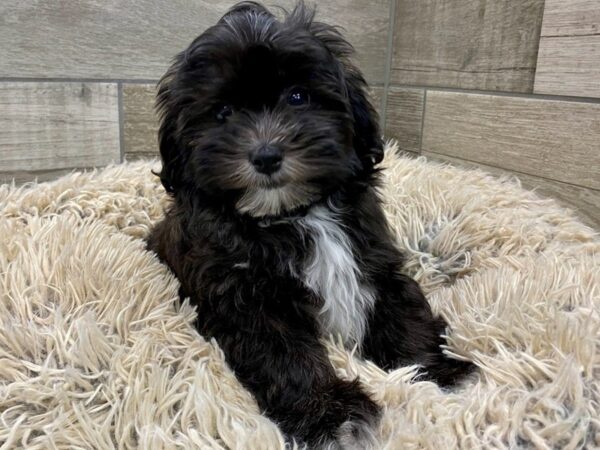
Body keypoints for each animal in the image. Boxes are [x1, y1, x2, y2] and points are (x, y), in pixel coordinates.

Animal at [146, 2, 474, 446]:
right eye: (222, 112)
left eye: (298, 96)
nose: (266, 155)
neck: (295, 214)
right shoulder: (248, 300)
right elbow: (283, 354)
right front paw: (329, 413)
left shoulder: (374, 260)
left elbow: (405, 313)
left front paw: (435, 371)